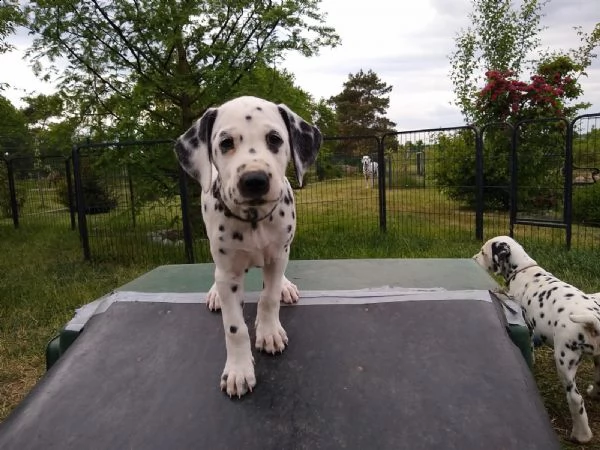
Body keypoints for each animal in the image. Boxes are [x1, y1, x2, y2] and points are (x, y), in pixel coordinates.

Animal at [175, 95, 322, 398]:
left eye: (275, 139)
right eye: (226, 143)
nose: (254, 180)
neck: (254, 219)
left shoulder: (277, 258)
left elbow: (269, 298)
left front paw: (269, 332)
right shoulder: (229, 273)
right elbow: (235, 328)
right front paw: (239, 371)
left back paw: (286, 287)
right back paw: (214, 293)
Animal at [474, 236, 600, 442]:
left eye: (483, 252)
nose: (473, 258)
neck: (524, 270)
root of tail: (593, 322)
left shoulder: (527, 323)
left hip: (565, 361)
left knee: (575, 399)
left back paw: (581, 434)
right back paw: (594, 394)